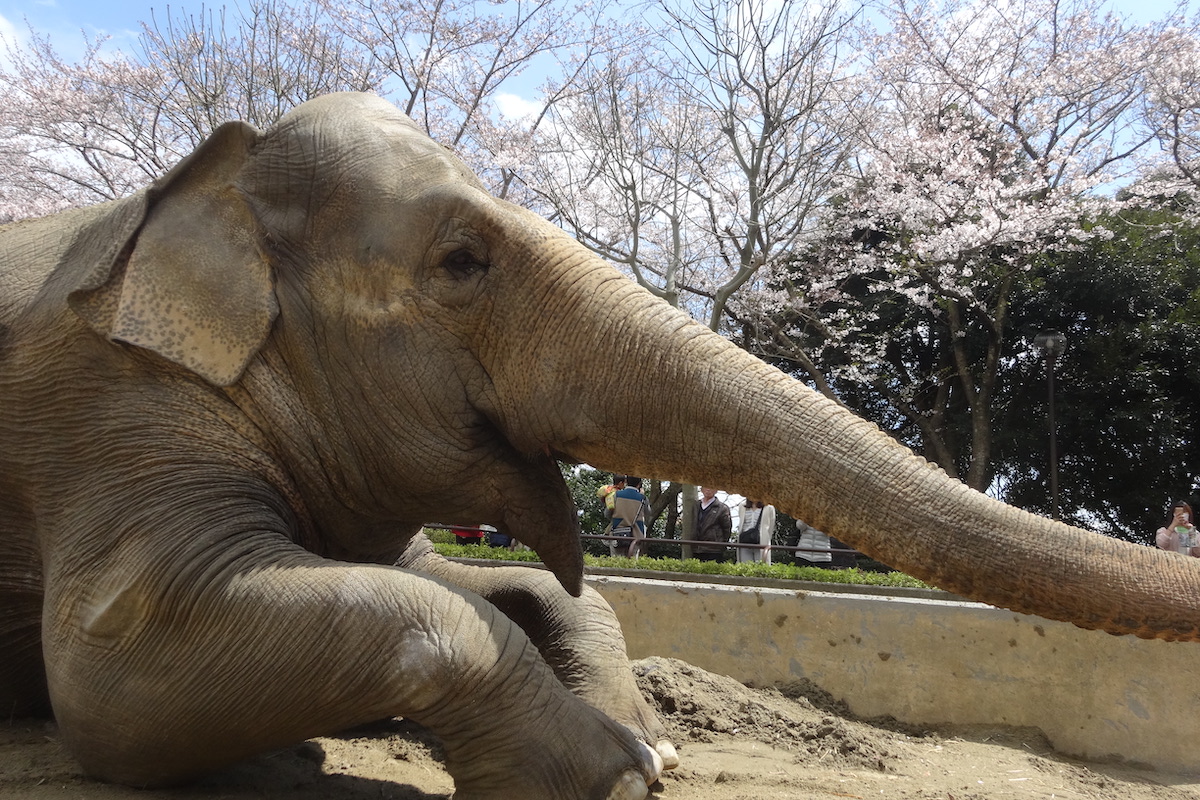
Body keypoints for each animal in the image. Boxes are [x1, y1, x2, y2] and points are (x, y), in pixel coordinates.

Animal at [0, 92, 1195, 800]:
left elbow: (483, 583)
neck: (201, 187)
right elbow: (111, 679)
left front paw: (650, 738)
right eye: (463, 262)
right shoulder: (109, 407)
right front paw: (615, 772)